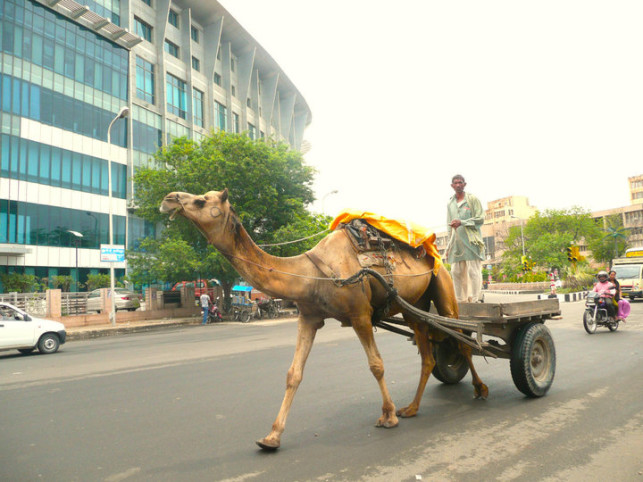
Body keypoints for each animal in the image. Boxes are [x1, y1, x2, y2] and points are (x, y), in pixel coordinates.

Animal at [161, 189, 488, 452]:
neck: (310, 273)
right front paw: (271, 437)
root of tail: (433, 251)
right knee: (428, 352)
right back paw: (412, 408)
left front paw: (388, 415)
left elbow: (376, 365)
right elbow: (293, 374)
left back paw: (479, 390)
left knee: (463, 339)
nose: (169, 199)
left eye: (201, 200)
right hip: (414, 305)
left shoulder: (360, 314)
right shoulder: (309, 317)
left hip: (443, 284)